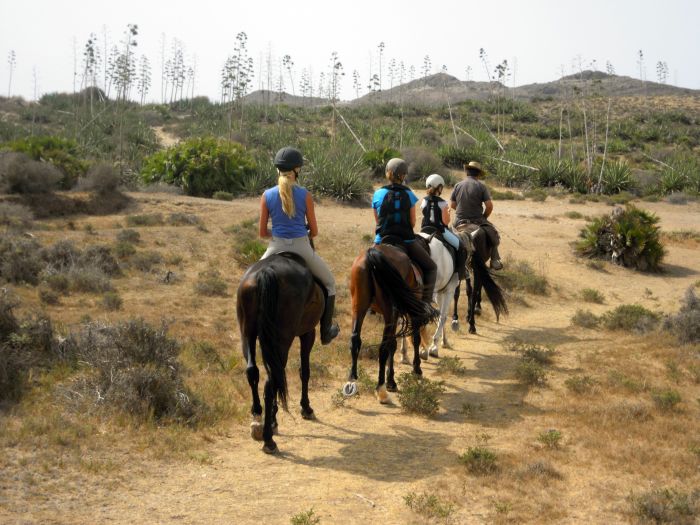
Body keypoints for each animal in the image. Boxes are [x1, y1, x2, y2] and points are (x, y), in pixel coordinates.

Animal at [235, 252, 322, 452]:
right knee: (271, 380)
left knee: (253, 372)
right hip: (283, 338)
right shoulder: (308, 333)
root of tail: (266, 272)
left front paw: (274, 419)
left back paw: (257, 418)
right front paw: (306, 408)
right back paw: (268, 440)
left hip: (248, 334)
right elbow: (304, 371)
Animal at [344, 244, 438, 404]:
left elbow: (393, 345)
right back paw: (381, 389)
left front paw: (391, 381)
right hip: (390, 312)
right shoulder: (411, 314)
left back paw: (352, 380)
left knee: (355, 340)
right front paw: (416, 369)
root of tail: (371, 254)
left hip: (359, 306)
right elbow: (414, 339)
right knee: (383, 347)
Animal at [402, 231, 462, 362]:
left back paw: (405, 354)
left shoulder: (439, 292)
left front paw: (442, 342)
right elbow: (442, 316)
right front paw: (433, 347)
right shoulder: (448, 290)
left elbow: (440, 315)